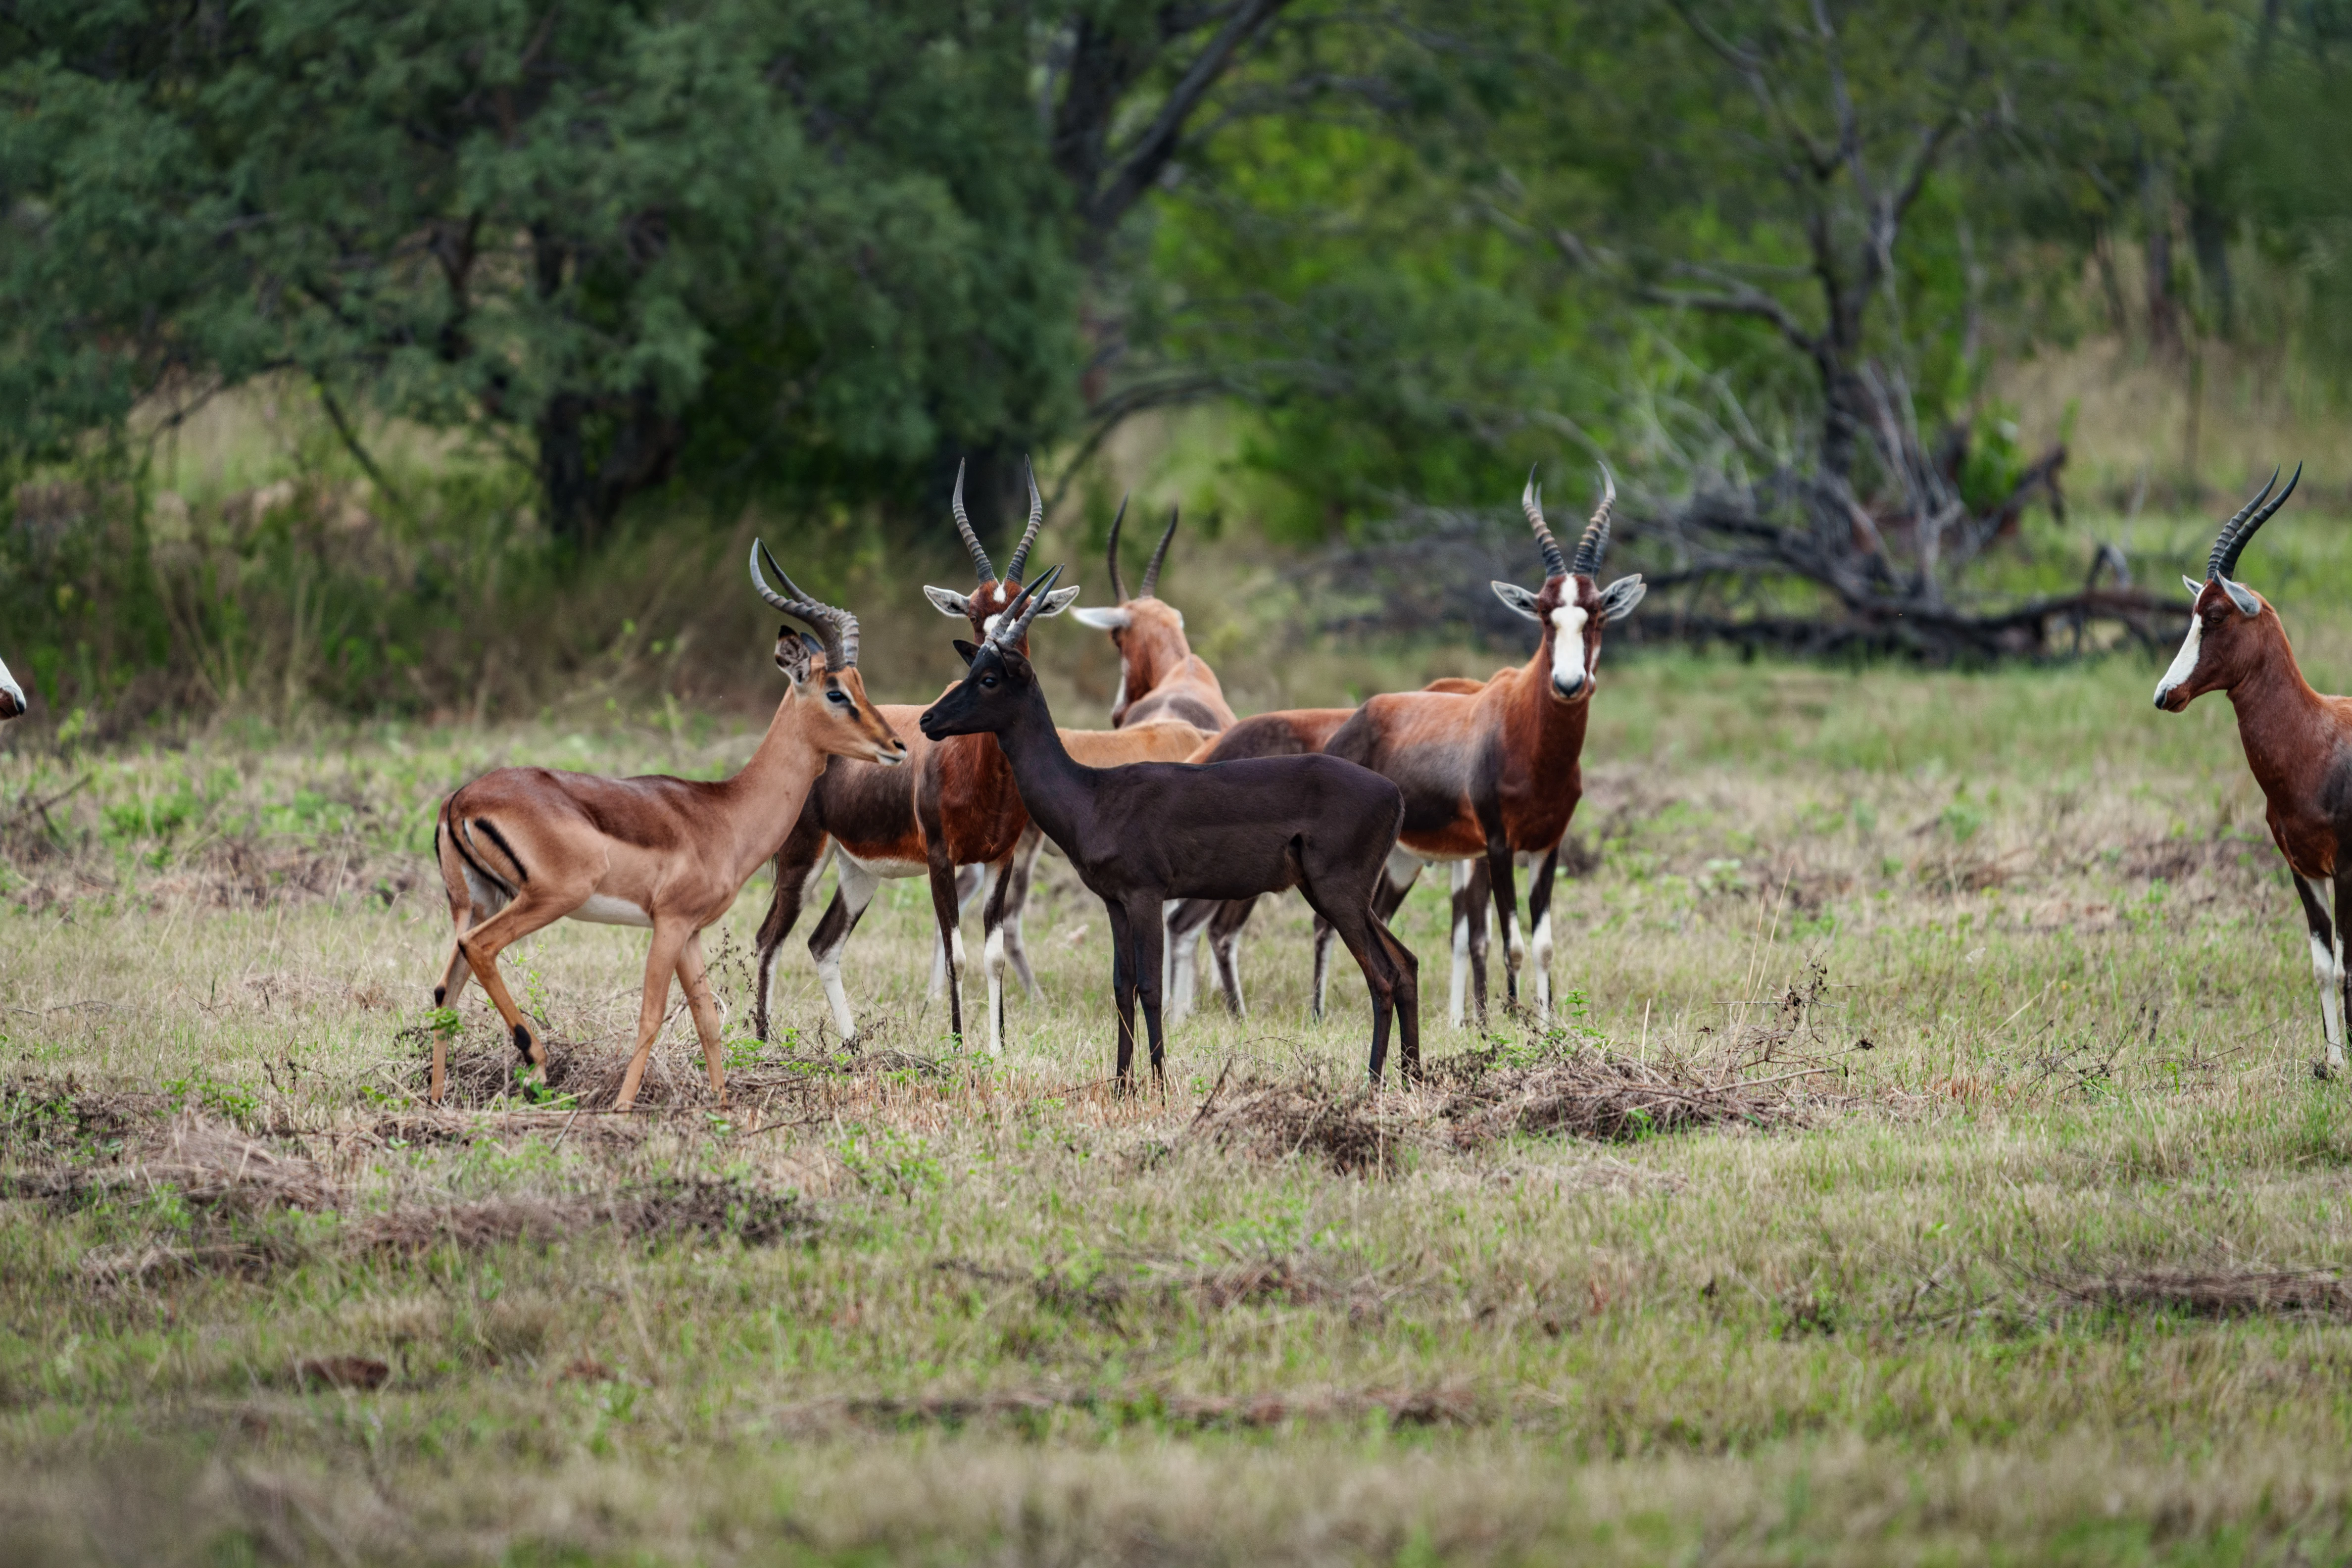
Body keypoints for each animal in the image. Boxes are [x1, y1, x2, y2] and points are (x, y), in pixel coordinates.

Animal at [429, 546, 906, 1109]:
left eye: (860, 686)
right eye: (835, 693)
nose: (897, 745)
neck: (725, 812)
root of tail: (461, 800)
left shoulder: (693, 932)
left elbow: (707, 1022)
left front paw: (721, 1106)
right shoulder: (670, 923)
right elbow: (652, 1017)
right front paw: (622, 1108)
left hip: (479, 900)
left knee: (445, 990)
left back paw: (435, 1100)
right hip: (548, 898)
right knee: (479, 949)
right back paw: (537, 1061)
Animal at [920, 567, 1421, 1085]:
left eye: (990, 678)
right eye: (971, 669)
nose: (928, 719)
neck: (1091, 795)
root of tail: (1395, 795)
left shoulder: (1146, 895)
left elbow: (1151, 987)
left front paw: (1159, 1083)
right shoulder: (1115, 903)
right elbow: (1122, 987)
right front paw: (1122, 1085)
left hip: (1339, 895)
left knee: (1382, 977)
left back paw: (1374, 1082)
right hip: (1343, 896)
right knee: (1407, 964)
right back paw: (1411, 1076)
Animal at [2152, 466, 2351, 1074]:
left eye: (2214, 616)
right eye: (2194, 613)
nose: (2165, 694)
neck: (2316, 736)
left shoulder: (2347, 869)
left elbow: (2348, 967)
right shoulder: (2303, 871)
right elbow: (2324, 967)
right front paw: (2333, 1065)